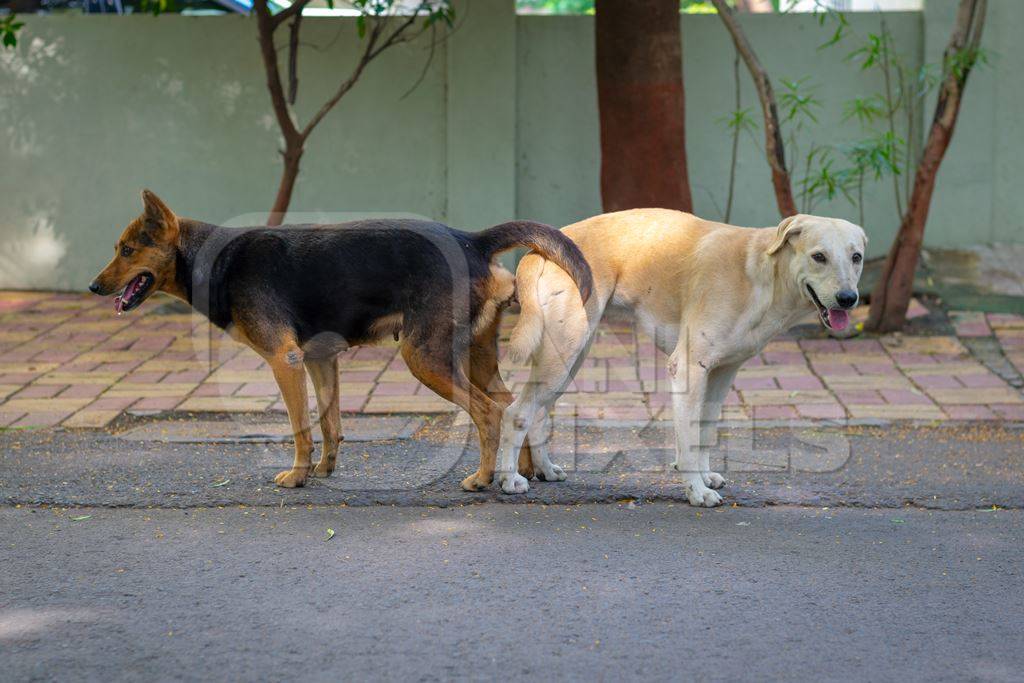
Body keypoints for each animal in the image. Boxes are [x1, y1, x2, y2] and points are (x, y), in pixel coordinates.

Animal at [90, 192, 593, 491]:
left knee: (488, 412)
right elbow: (330, 423)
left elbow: (300, 427)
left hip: (425, 357)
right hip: (474, 355)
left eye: (127, 250)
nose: (94, 287)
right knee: (512, 405)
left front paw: (297, 475)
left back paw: (484, 477)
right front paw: (323, 470)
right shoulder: (319, 360)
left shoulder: (285, 360)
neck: (214, 261)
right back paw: (524, 472)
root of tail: (470, 239)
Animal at [491, 209, 868, 507]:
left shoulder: (721, 374)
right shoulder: (688, 370)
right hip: (564, 354)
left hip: (570, 359)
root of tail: (540, 249)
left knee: (537, 414)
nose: (848, 298)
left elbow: (704, 431)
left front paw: (705, 475)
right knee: (516, 413)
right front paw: (696, 490)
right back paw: (509, 480)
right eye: (819, 256)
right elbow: (687, 438)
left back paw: (544, 469)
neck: (760, 273)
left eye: (856, 257)